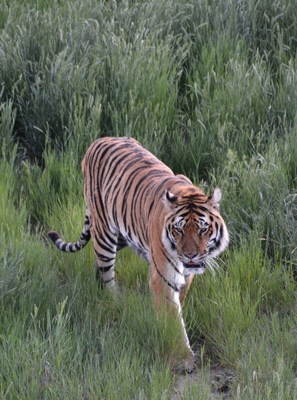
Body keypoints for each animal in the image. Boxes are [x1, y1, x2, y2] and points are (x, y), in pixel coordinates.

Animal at [49, 137, 229, 372]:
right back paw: (115, 301)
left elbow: (178, 302)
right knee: (107, 273)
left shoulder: (186, 276)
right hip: (104, 233)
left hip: (122, 236)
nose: (190, 256)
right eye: (179, 230)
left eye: (203, 229)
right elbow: (173, 316)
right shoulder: (163, 277)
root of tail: (98, 140)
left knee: (98, 264)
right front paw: (183, 357)